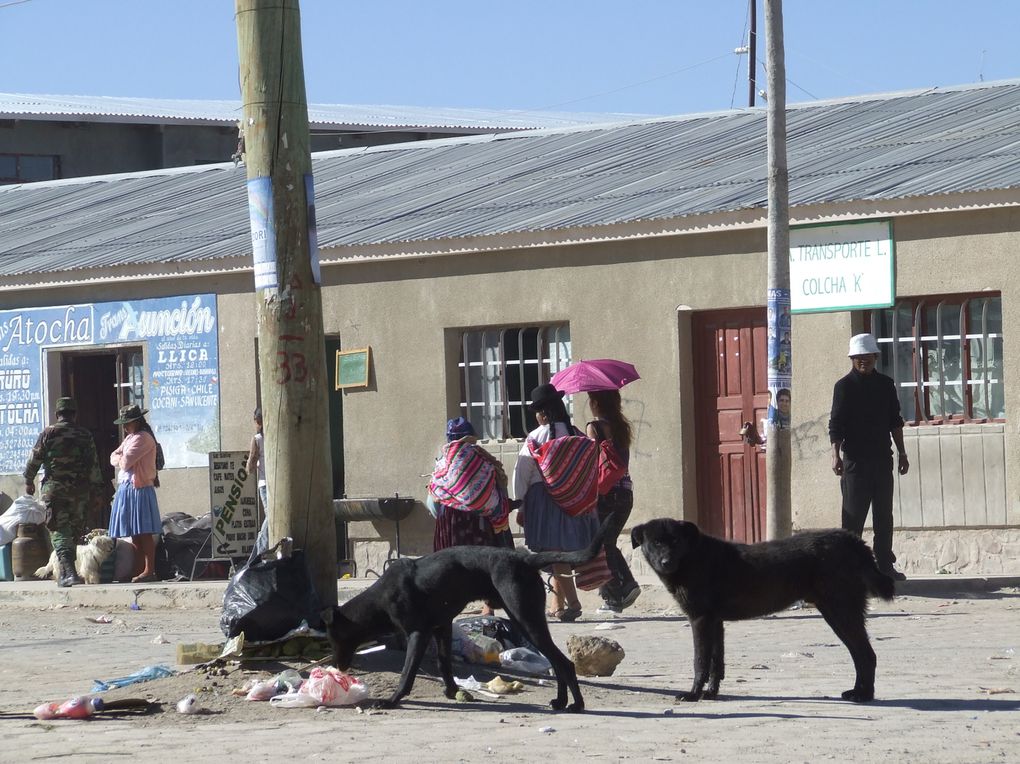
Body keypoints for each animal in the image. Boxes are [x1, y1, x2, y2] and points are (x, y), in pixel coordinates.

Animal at [330, 516, 607, 714]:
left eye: (335, 639)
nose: (338, 667)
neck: (382, 596)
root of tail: (524, 558)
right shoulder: (442, 627)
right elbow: (444, 662)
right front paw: (453, 691)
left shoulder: (418, 633)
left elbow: (407, 672)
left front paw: (392, 700)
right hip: (525, 620)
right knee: (556, 661)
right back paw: (560, 701)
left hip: (526, 619)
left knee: (564, 663)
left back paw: (577, 704)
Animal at [628, 518, 893, 701]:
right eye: (655, 543)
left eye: (675, 541)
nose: (666, 562)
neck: (693, 558)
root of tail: (853, 541)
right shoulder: (715, 622)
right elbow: (716, 662)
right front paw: (711, 694)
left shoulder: (700, 619)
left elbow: (700, 661)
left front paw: (693, 694)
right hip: (836, 612)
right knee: (860, 654)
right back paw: (859, 692)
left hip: (841, 610)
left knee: (866, 654)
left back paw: (863, 696)